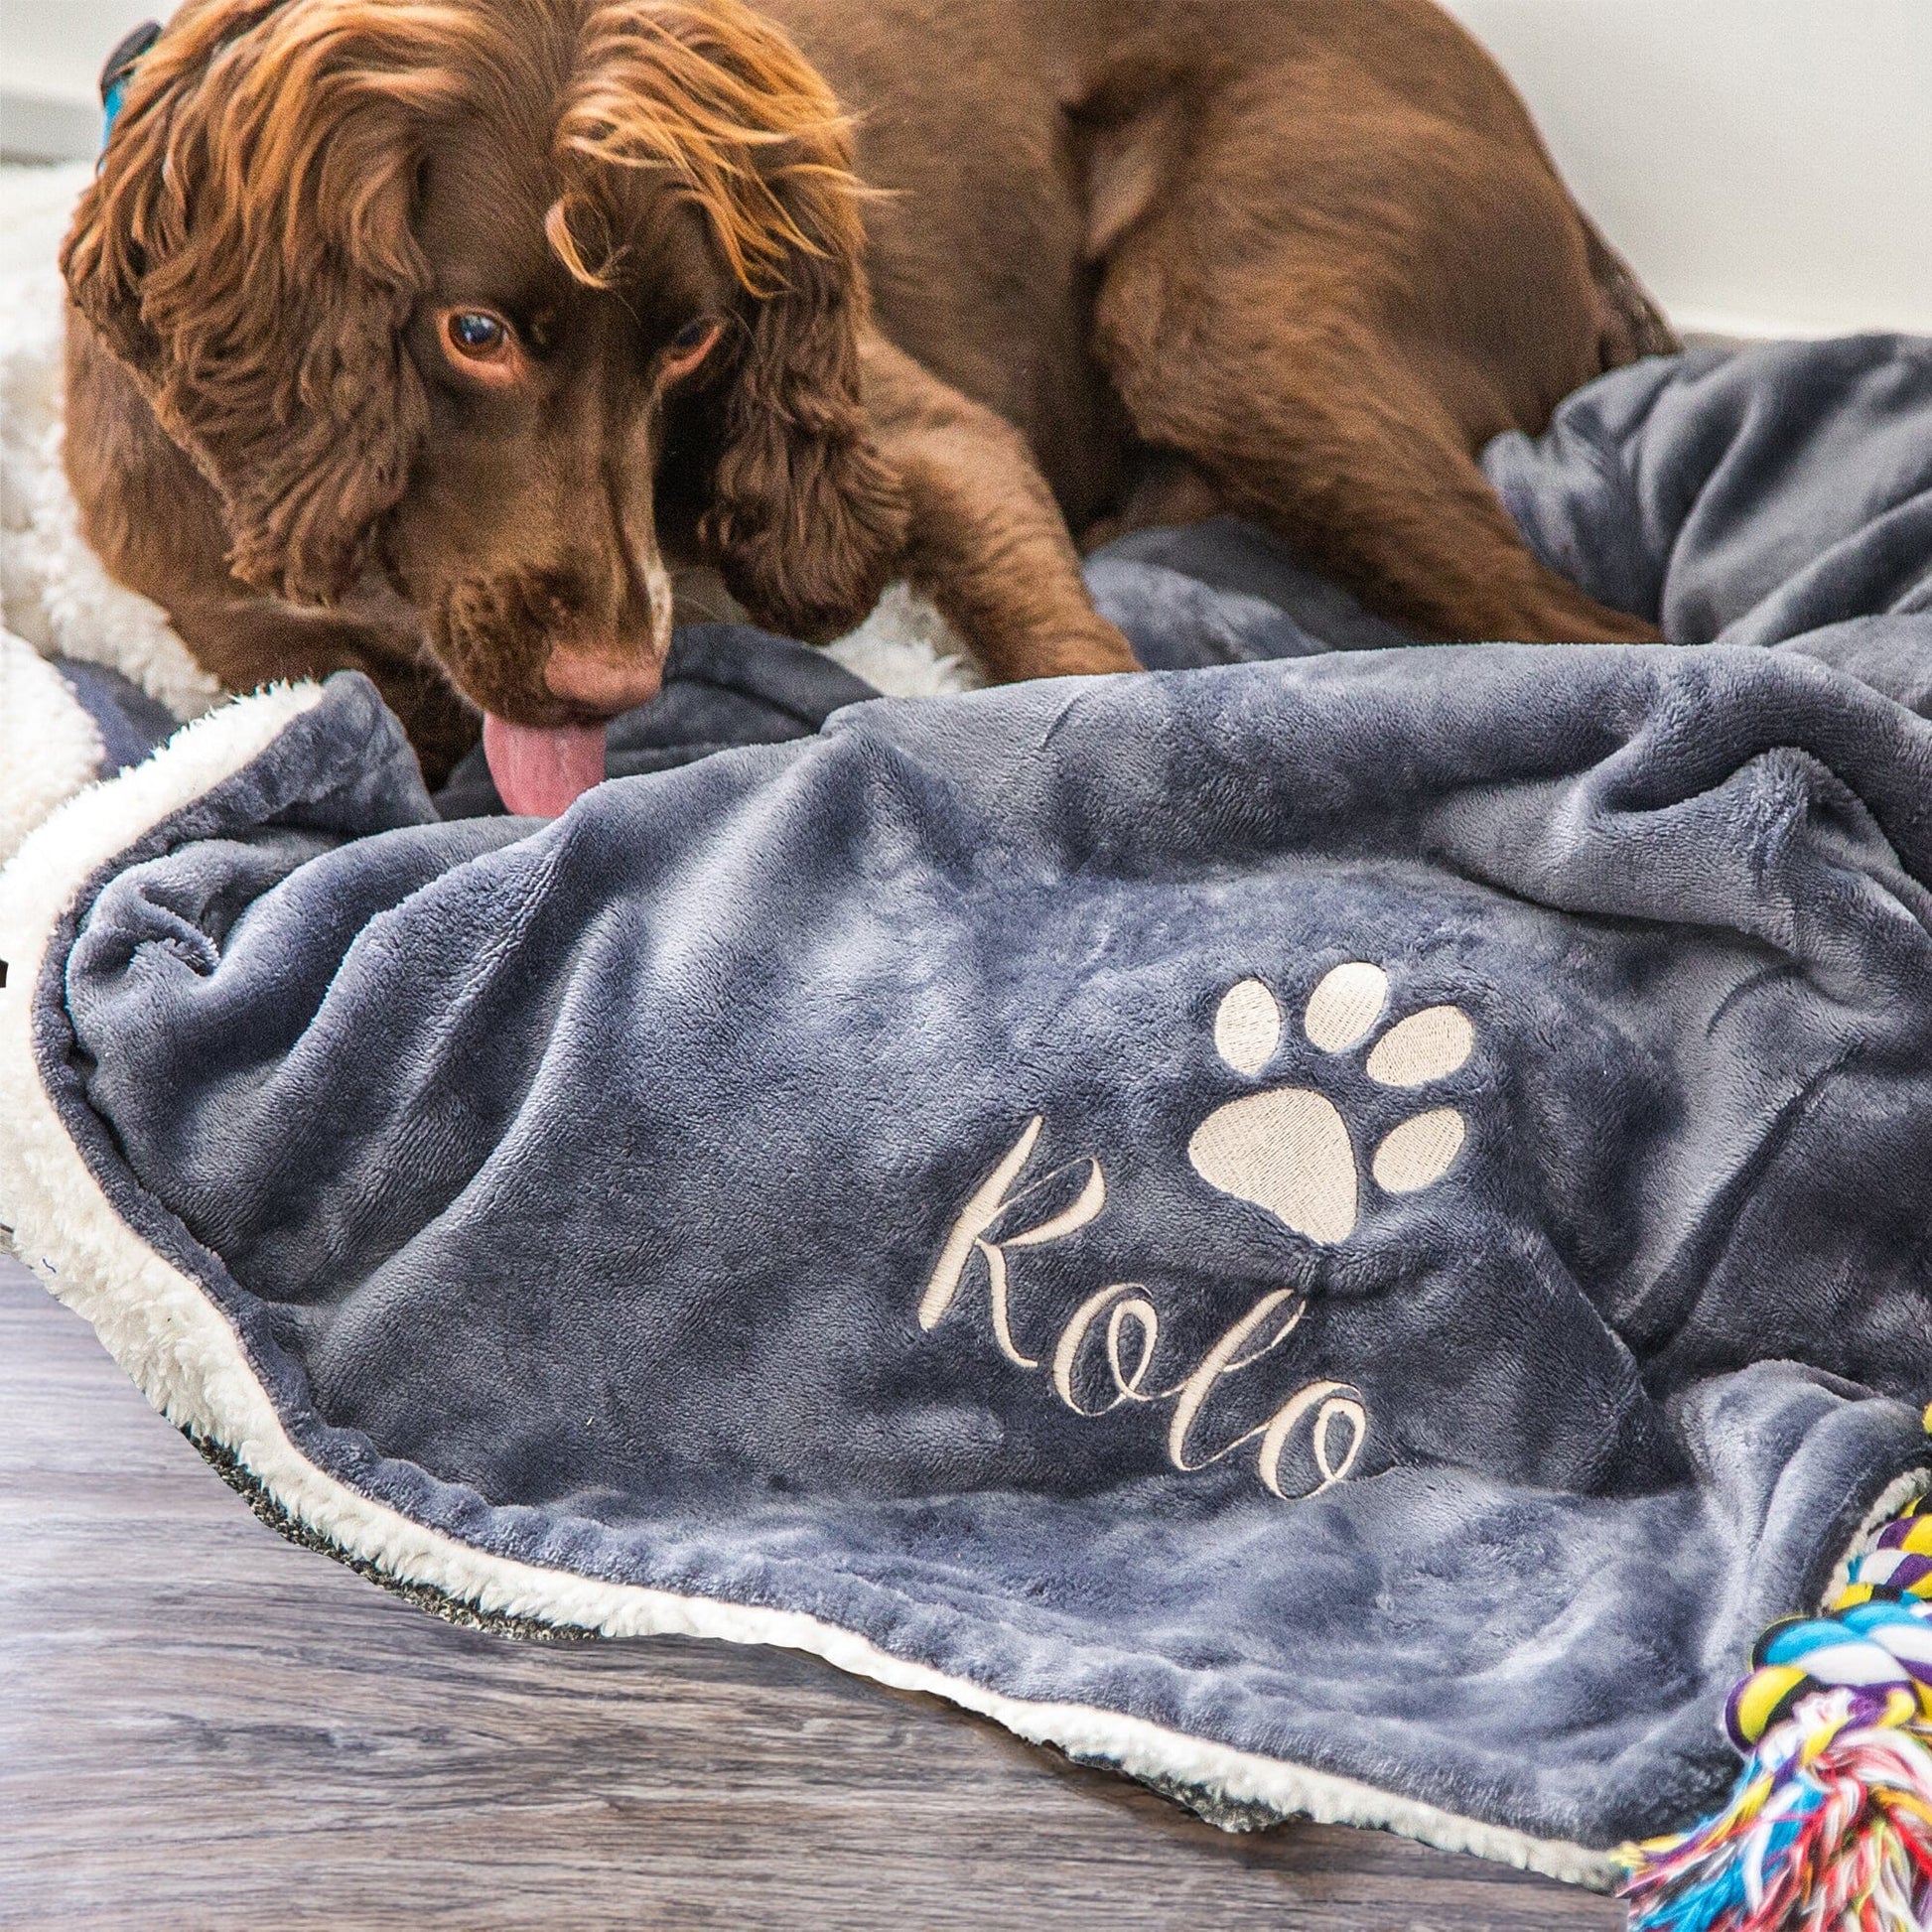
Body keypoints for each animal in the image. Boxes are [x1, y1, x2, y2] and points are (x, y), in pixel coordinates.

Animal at [56, 0, 1661, 807]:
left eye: (695, 346)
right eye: (474, 334)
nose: (615, 687)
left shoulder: (937, 442)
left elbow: (1068, 656)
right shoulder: (199, 582)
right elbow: (342, 689)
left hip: (1228, 322)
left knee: (1610, 640)